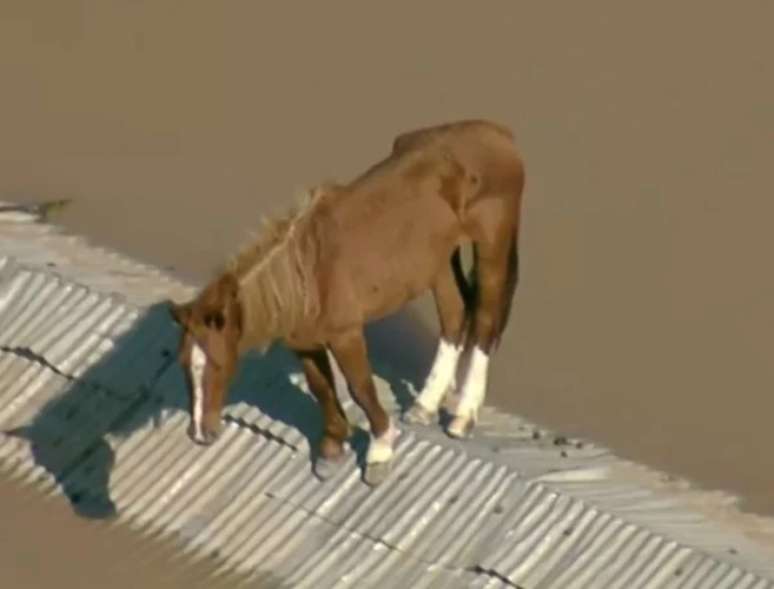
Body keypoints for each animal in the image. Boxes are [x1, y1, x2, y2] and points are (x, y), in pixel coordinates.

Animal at [167, 117, 524, 484]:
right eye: (183, 363)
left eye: (217, 364)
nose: (200, 433)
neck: (308, 275)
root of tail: (496, 133)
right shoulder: (303, 342)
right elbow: (321, 388)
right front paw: (331, 449)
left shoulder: (346, 335)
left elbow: (360, 388)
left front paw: (380, 451)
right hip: (438, 260)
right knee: (454, 316)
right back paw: (425, 405)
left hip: (491, 244)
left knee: (484, 321)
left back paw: (463, 417)